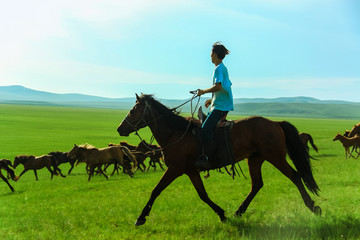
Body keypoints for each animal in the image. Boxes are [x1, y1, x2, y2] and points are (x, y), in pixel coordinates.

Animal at [116, 94, 320, 226]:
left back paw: (313, 206)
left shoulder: (176, 169)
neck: (176, 133)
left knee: (295, 176)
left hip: (275, 157)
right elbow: (202, 195)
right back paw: (238, 211)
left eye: (133, 110)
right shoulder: (190, 171)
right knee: (257, 184)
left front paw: (141, 218)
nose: (119, 128)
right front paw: (222, 214)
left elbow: (156, 191)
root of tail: (275, 123)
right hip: (255, 159)